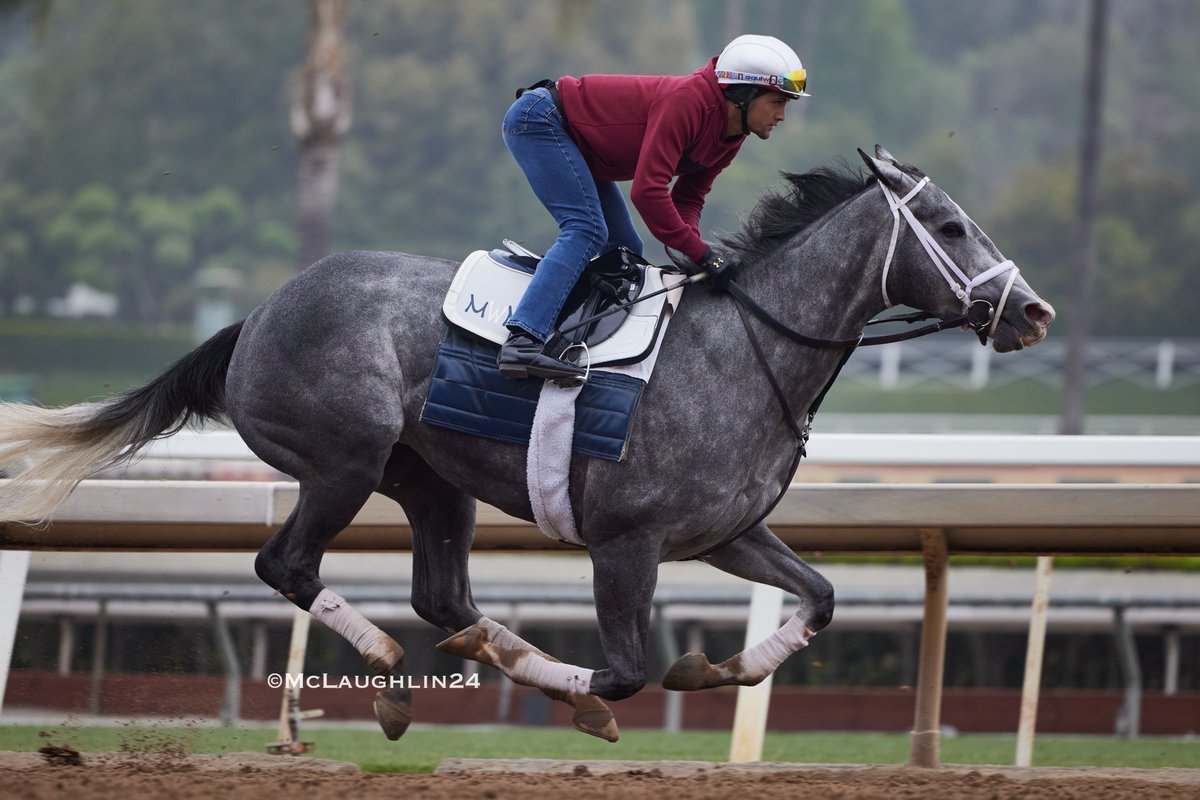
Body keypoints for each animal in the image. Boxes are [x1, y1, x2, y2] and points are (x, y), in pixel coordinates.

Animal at [0, 148, 1051, 743]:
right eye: (950, 225)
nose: (1034, 311)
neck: (746, 352)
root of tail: (256, 315)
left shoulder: (722, 534)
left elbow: (821, 597)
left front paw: (722, 669)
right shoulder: (626, 542)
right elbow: (623, 673)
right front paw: (597, 698)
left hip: (433, 484)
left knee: (444, 595)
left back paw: (454, 655)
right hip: (342, 463)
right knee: (288, 564)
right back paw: (389, 668)